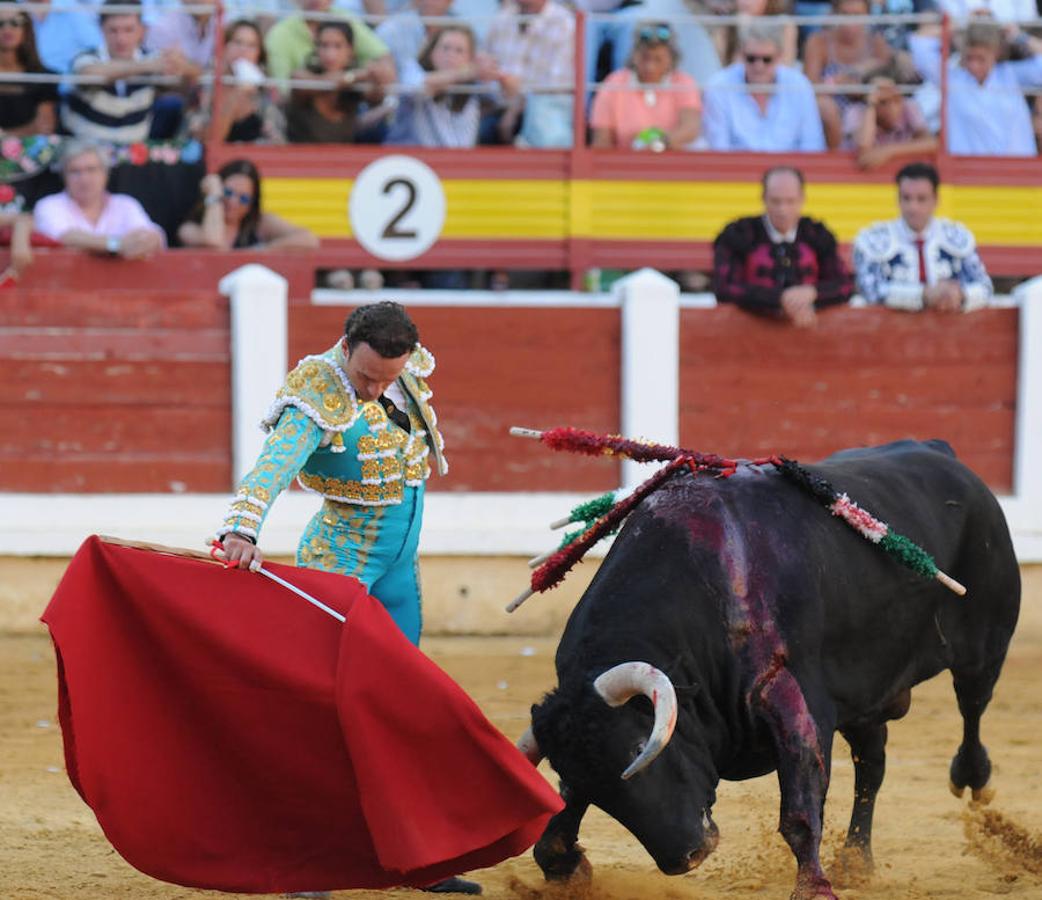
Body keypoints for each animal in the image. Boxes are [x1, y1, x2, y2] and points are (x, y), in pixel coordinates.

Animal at [521, 441, 1016, 899]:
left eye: (641, 749)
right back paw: (856, 859)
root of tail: (941, 452)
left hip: (983, 646)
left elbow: (799, 809)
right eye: (593, 783)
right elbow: (562, 813)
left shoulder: (788, 694)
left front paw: (814, 887)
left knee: (972, 705)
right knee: (872, 765)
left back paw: (973, 781)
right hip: (865, 696)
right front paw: (565, 866)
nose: (686, 857)